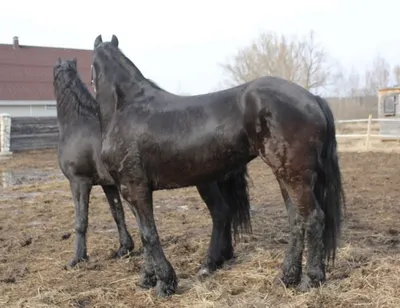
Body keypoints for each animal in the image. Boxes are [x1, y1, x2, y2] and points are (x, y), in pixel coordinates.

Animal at [52, 59, 252, 276]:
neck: (78, 125)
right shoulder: (109, 185)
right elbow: (118, 214)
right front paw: (123, 249)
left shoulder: (79, 182)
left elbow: (81, 221)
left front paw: (77, 259)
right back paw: (224, 256)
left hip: (206, 181)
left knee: (221, 212)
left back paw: (210, 263)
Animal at [91, 35, 344, 298]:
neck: (125, 110)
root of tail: (313, 99)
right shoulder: (130, 191)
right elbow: (144, 232)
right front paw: (148, 278)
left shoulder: (135, 188)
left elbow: (149, 234)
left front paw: (164, 283)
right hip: (286, 176)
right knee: (297, 221)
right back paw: (287, 277)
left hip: (295, 177)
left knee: (313, 218)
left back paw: (310, 280)